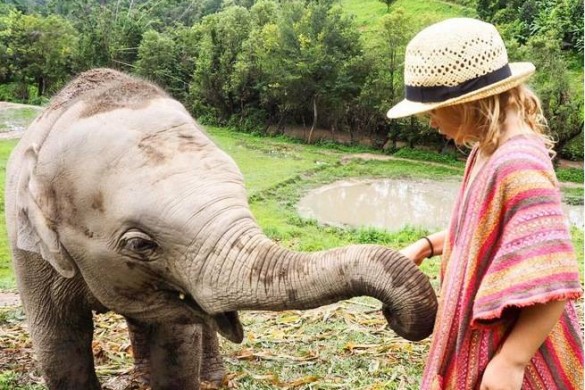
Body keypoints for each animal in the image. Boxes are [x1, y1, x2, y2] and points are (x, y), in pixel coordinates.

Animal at [3, 68, 434, 388]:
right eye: (140, 244)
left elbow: (177, 347)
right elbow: (59, 345)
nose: (391, 313)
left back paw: (210, 377)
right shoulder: (28, 251)